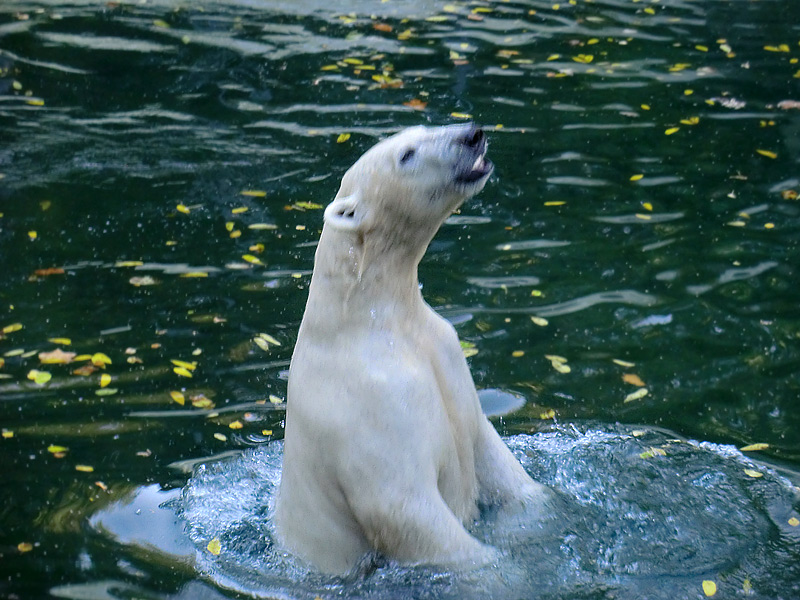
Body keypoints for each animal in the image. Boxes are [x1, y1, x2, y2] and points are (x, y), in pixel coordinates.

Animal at [276, 120, 552, 572]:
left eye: (426, 129)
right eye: (406, 155)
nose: (472, 134)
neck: (368, 322)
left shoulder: (445, 352)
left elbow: (490, 452)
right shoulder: (371, 402)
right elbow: (404, 509)